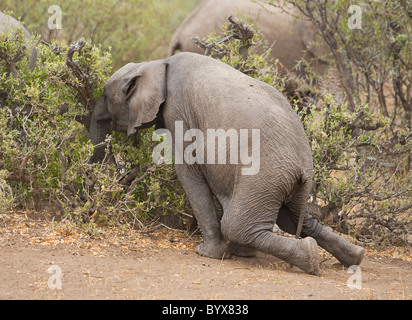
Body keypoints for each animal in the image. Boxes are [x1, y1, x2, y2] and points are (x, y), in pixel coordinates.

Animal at [90, 52, 364, 276]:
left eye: (104, 94)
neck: (157, 63)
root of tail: (304, 167)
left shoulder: (178, 111)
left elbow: (188, 171)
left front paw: (207, 254)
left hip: (264, 177)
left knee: (238, 225)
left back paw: (309, 257)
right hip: (286, 181)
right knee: (296, 219)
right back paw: (352, 257)